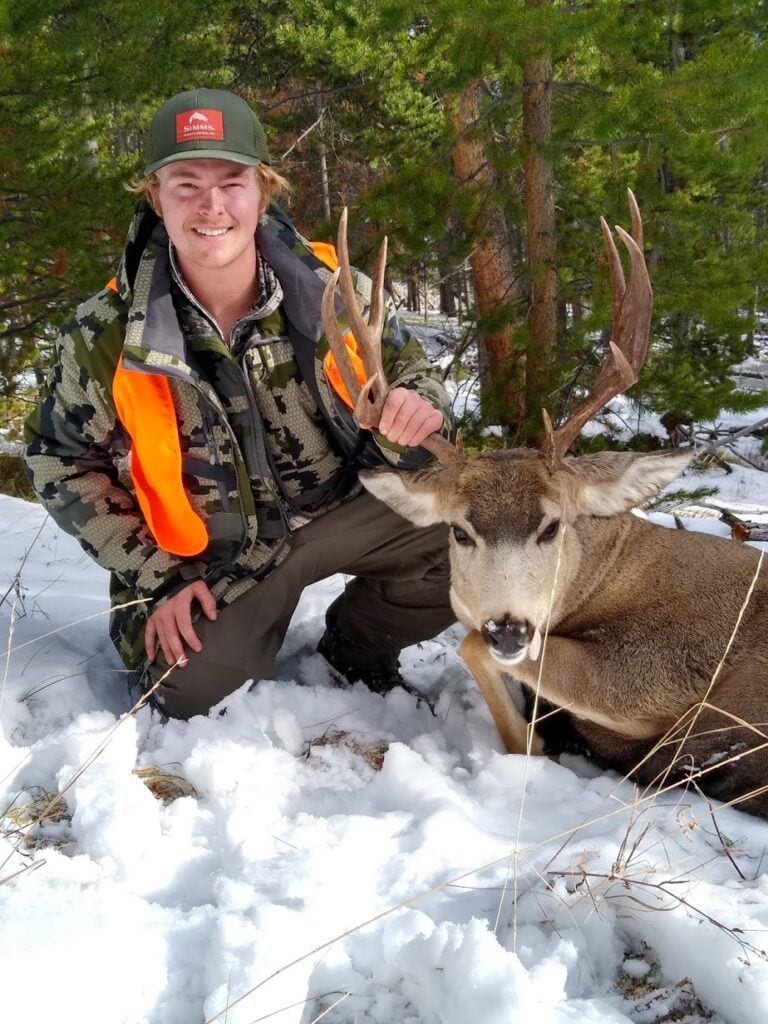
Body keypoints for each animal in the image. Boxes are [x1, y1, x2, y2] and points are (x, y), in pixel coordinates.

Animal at [321, 196, 768, 819]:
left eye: (552, 526)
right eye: (460, 532)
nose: (508, 628)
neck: (606, 570)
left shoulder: (656, 670)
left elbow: (477, 654)